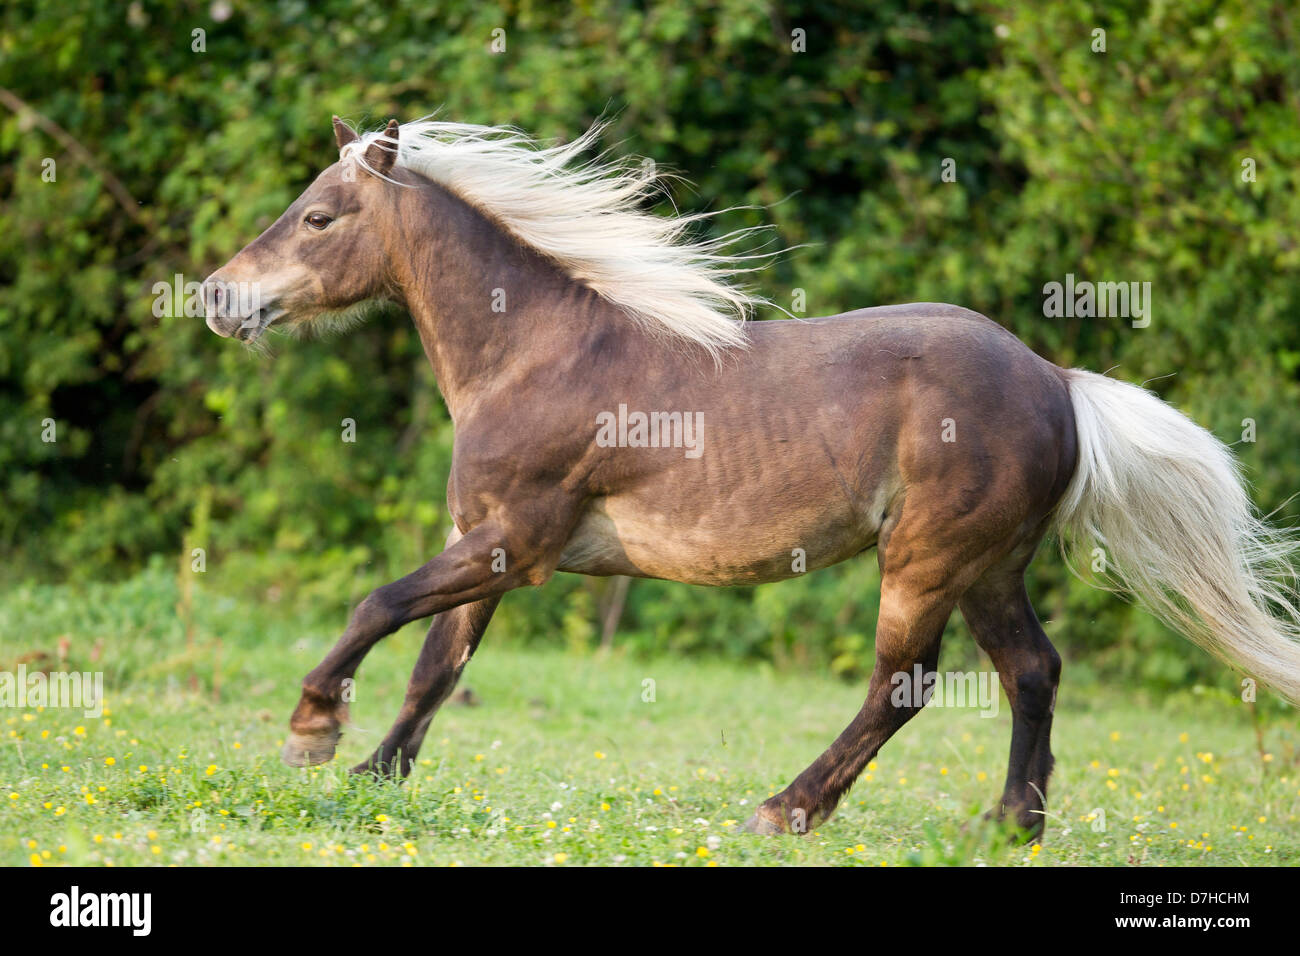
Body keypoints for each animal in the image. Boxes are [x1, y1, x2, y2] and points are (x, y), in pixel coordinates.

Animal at [200, 115, 1300, 842]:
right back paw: (1006, 826)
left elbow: (378, 602)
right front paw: (375, 774)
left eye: (317, 217)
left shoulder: (516, 541)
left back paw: (787, 807)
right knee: (1032, 669)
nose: (215, 297)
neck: (531, 355)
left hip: (927, 562)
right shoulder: (490, 546)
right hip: (988, 568)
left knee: (903, 685)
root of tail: (1058, 381)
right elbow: (436, 663)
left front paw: (311, 731)